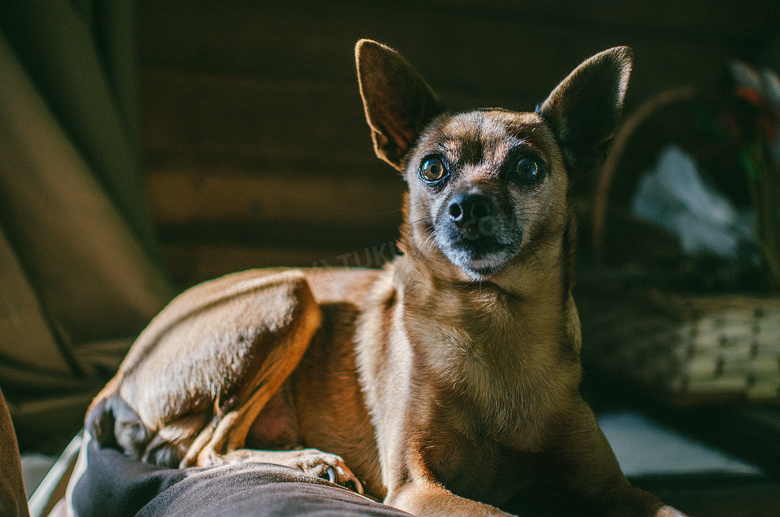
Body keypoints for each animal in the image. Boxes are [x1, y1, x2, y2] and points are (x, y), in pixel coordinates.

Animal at [84, 41, 684, 516]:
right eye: (432, 168)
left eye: (528, 168)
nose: (467, 206)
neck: (492, 318)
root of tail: (120, 374)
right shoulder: (419, 486)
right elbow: (497, 513)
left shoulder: (615, 489)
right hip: (290, 294)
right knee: (200, 451)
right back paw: (312, 463)